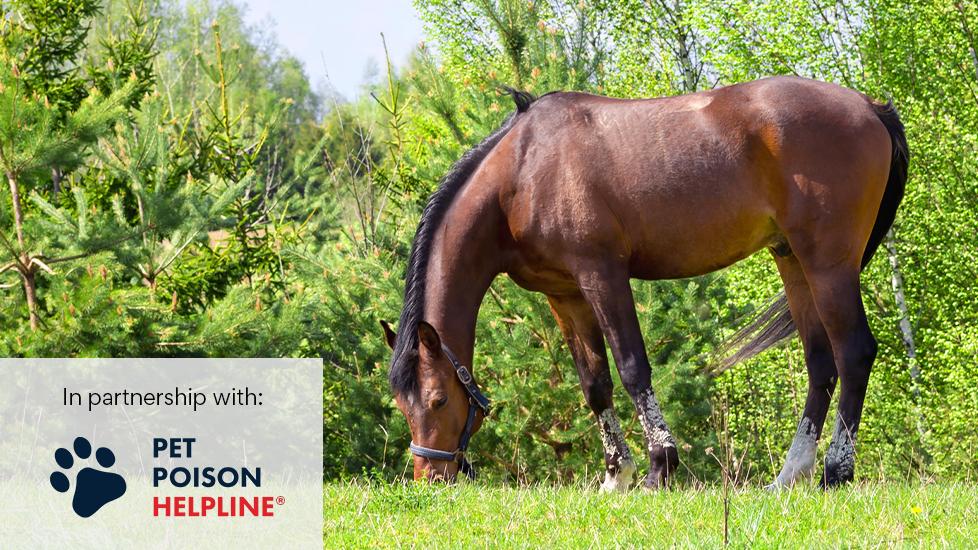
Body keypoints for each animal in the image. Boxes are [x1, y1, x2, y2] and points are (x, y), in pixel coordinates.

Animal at [378, 74, 904, 492]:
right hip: (792, 259)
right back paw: (789, 476)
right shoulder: (564, 294)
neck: (522, 173)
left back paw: (836, 472)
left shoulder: (602, 275)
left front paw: (658, 467)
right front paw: (616, 475)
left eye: (438, 400)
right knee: (821, 364)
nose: (430, 478)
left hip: (828, 264)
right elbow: (594, 383)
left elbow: (633, 368)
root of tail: (870, 106)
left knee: (854, 353)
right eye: (402, 406)